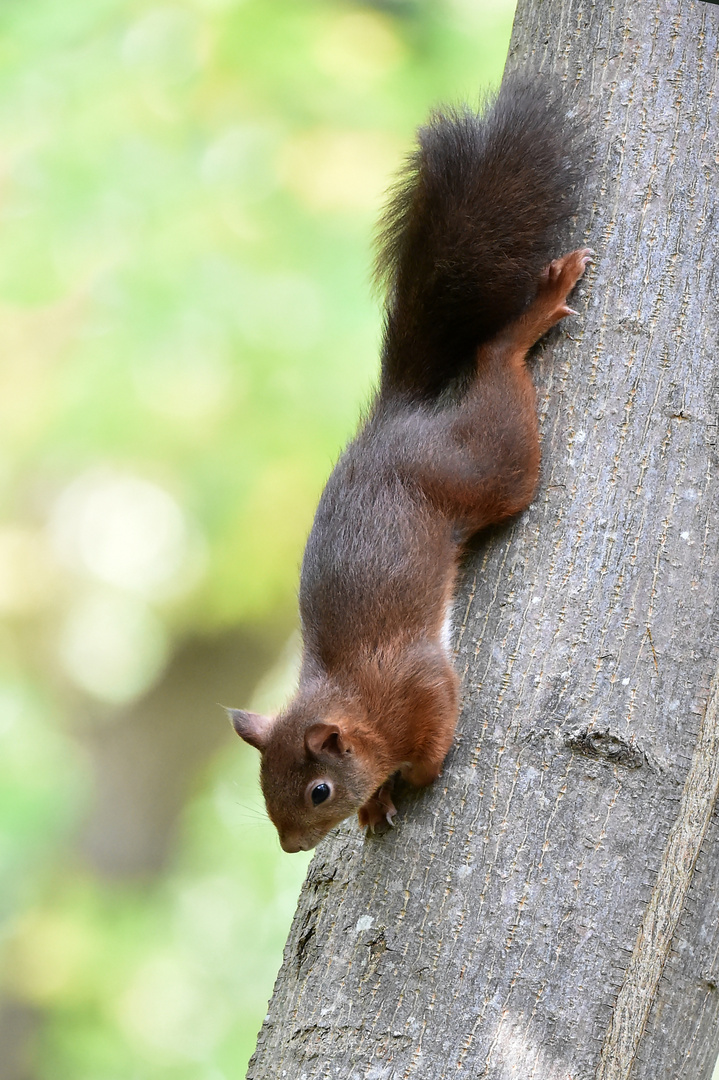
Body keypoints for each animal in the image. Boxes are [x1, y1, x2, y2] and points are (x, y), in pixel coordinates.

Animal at [227, 78, 587, 851]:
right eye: (265, 794)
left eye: (318, 789)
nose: (293, 845)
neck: (353, 698)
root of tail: (392, 417)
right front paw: (376, 802)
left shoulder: (418, 681)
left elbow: (436, 730)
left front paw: (410, 776)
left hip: (484, 466)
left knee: (495, 369)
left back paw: (528, 321)